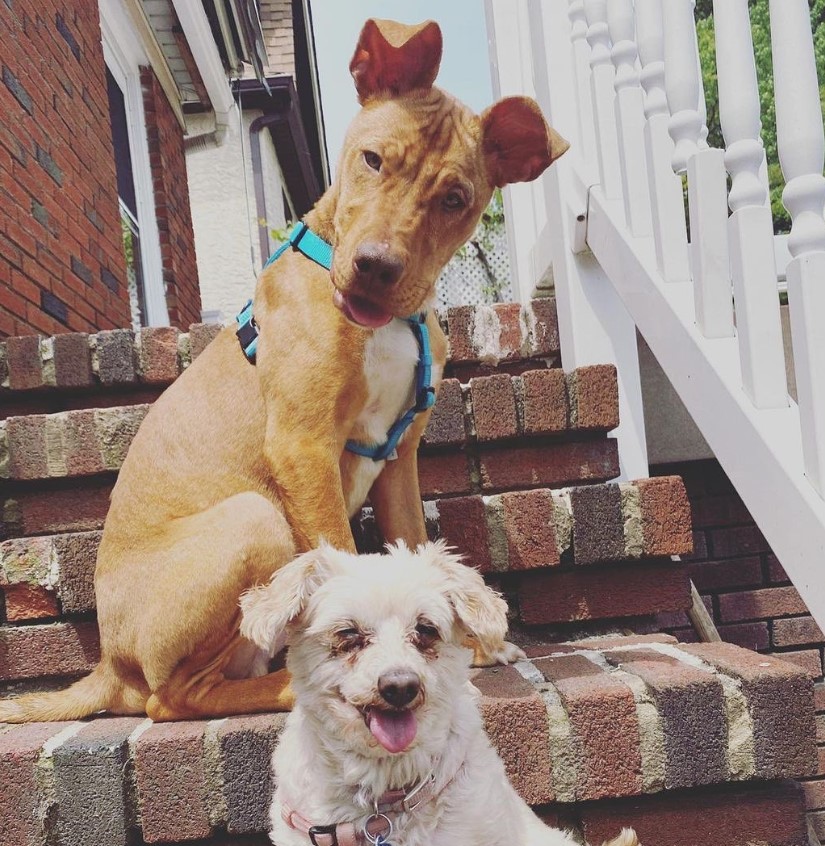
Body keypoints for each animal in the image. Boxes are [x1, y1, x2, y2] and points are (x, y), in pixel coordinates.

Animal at [0, 18, 568, 724]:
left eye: (456, 199)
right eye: (372, 159)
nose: (375, 267)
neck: (386, 324)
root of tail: (108, 663)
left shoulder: (399, 460)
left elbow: (414, 552)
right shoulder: (303, 445)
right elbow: (342, 557)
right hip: (254, 518)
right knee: (173, 697)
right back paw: (290, 686)